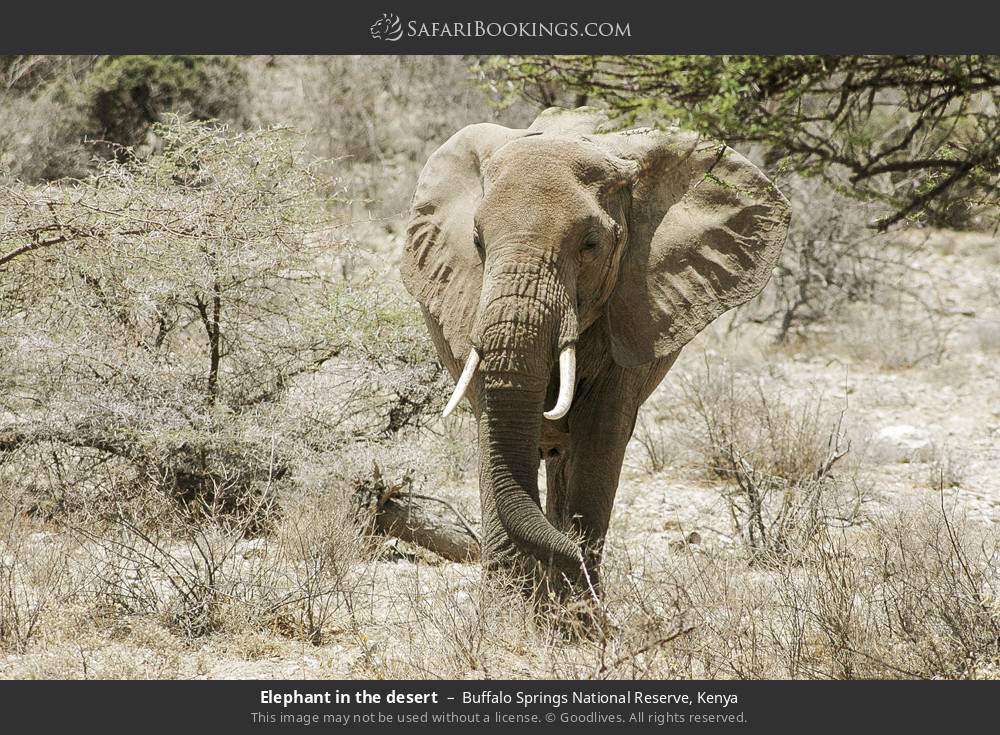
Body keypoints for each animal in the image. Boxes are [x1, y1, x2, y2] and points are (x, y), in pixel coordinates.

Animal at [398, 106, 788, 596]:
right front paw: (513, 605)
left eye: (590, 244)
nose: (579, 564)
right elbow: (492, 426)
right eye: (477, 242)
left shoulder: (636, 307)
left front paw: (578, 602)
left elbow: (602, 432)